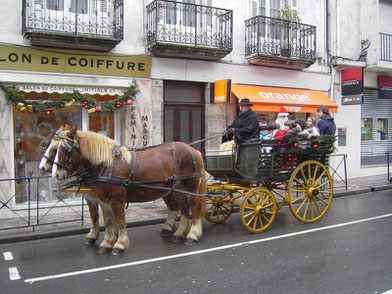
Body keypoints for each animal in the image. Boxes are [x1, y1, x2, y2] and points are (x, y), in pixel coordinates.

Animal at [52, 125, 208, 254]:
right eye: (54, 149)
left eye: (66, 149)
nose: (56, 174)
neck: (107, 165)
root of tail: (194, 150)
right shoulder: (103, 201)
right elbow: (108, 221)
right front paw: (107, 243)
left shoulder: (116, 199)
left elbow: (120, 221)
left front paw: (120, 244)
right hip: (178, 190)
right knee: (184, 209)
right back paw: (179, 233)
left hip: (190, 189)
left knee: (194, 209)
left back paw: (192, 235)